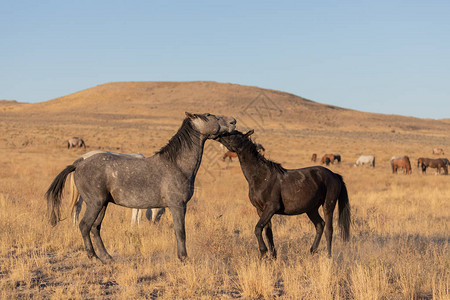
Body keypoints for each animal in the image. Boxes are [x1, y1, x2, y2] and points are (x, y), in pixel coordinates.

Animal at [45, 112, 236, 262]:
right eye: (210, 115)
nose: (233, 121)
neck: (176, 164)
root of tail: (78, 164)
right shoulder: (177, 206)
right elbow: (180, 232)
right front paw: (183, 258)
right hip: (95, 204)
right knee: (85, 226)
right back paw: (93, 257)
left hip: (102, 205)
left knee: (95, 228)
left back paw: (107, 257)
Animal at [218, 130, 352, 258]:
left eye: (235, 134)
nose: (219, 135)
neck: (262, 176)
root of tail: (335, 175)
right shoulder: (260, 210)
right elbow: (268, 232)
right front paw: (272, 256)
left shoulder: (271, 208)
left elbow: (257, 229)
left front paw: (263, 252)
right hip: (311, 209)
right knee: (320, 225)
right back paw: (312, 251)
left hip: (328, 206)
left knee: (329, 230)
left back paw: (329, 256)